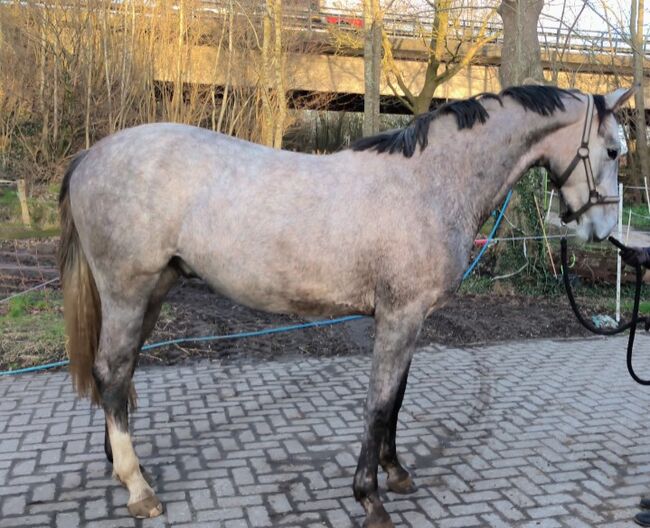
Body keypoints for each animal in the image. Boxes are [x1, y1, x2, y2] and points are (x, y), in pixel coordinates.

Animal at [58, 85, 633, 527]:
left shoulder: (410, 320)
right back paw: (138, 488)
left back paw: (121, 465)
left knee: (121, 375)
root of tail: (90, 156)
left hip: (152, 293)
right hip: (128, 291)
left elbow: (396, 401)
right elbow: (378, 404)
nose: (603, 228)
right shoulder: (399, 318)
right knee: (112, 372)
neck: (429, 182)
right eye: (613, 151)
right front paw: (369, 498)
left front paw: (396, 474)